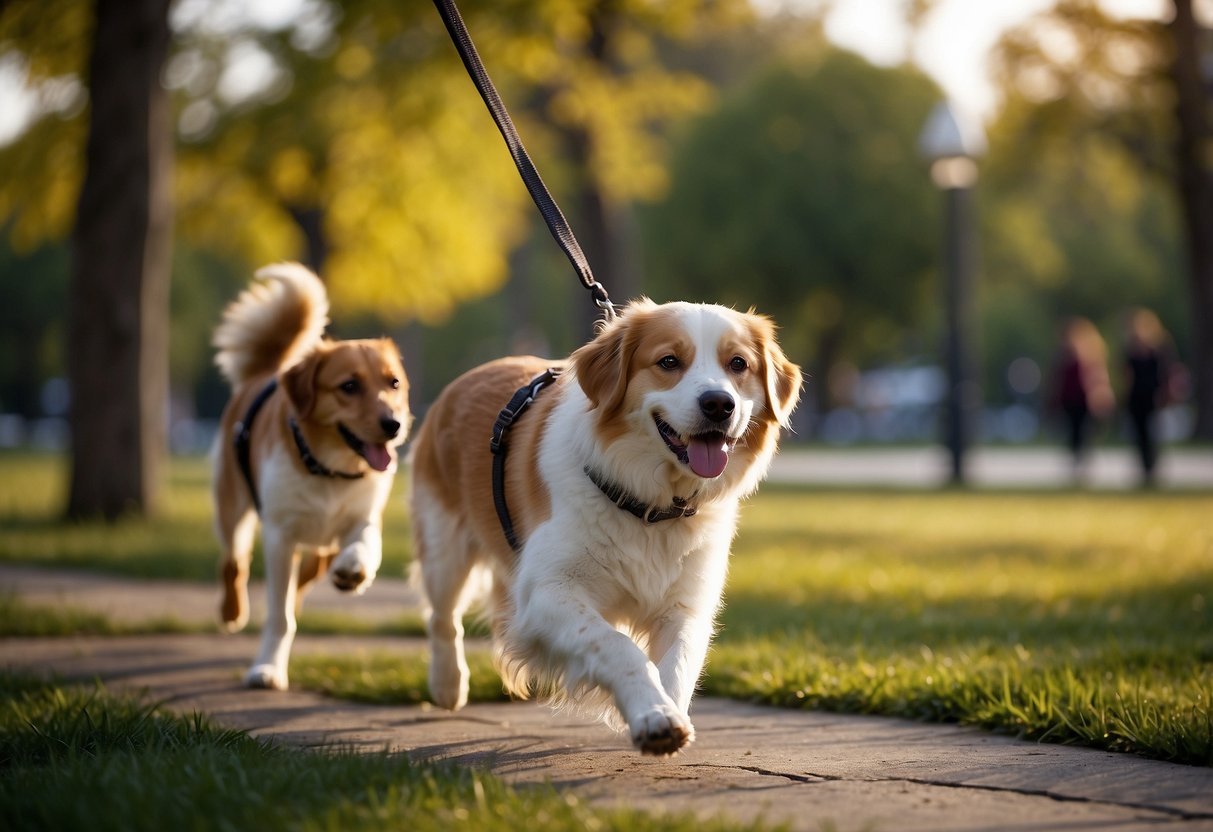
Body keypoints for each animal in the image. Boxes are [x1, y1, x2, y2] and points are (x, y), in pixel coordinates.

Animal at [213, 261, 412, 688]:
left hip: (322, 541)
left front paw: (355, 570)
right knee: (234, 562)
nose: (394, 425)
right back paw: (232, 612)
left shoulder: (363, 517)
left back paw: (335, 575)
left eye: (393, 383)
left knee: (313, 570)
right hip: (231, 505)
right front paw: (267, 668)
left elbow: (365, 545)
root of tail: (270, 371)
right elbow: (278, 614)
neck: (329, 471)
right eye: (349, 386)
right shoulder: (279, 535)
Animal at [412, 299, 800, 756]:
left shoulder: (685, 604)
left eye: (738, 364)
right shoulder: (547, 592)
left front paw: (663, 710)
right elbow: (619, 646)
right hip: (444, 550)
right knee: (443, 618)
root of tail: (466, 378)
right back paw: (448, 685)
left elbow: (678, 665)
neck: (650, 505)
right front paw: (654, 715)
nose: (720, 404)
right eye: (669, 361)